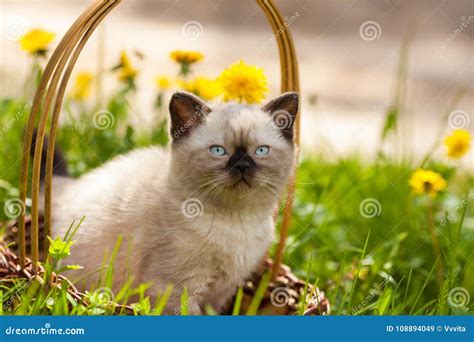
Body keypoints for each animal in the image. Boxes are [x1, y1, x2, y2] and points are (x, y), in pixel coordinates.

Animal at [44, 91, 298, 316]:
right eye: (218, 150)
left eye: (261, 151)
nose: (242, 166)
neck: (234, 222)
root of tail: (70, 188)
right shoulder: (177, 288)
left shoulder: (222, 291)